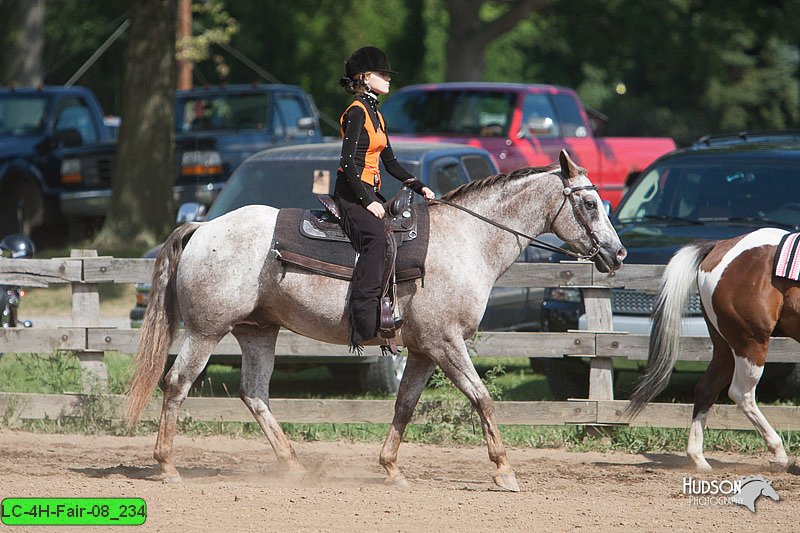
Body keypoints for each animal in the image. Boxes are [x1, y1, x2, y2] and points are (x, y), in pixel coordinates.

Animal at [126, 150, 624, 490]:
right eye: (590, 205)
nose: (618, 253)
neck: (466, 240)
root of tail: (204, 227)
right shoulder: (446, 343)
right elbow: (482, 399)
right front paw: (504, 471)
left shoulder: (423, 351)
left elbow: (405, 406)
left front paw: (391, 468)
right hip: (206, 332)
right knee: (176, 385)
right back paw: (167, 465)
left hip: (258, 332)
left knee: (254, 394)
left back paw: (293, 465)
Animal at [632, 227, 792, 468]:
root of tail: (719, 246)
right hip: (750, 342)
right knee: (741, 393)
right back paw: (779, 452)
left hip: (726, 347)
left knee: (706, 388)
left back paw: (698, 458)